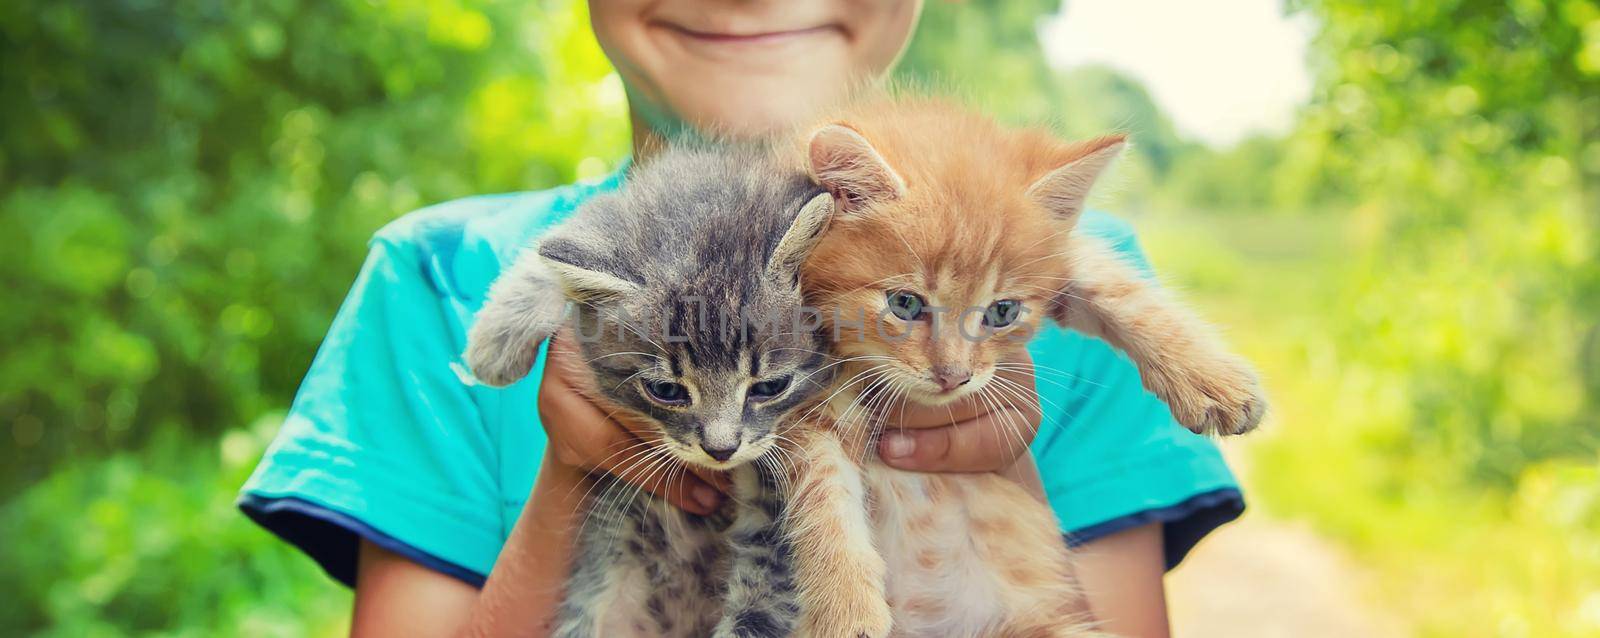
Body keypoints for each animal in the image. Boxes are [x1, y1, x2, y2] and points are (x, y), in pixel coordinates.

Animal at [464, 146, 838, 638]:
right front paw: (494, 341)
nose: (721, 449)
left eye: (770, 387)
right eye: (666, 390)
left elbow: (763, 602)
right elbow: (552, 246)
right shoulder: (610, 218)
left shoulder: (775, 523)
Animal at [780, 99, 1267, 638]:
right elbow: (823, 493)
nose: (954, 376)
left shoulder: (1062, 255)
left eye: (1002, 312)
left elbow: (1118, 288)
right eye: (904, 304)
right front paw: (844, 609)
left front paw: (1214, 382)